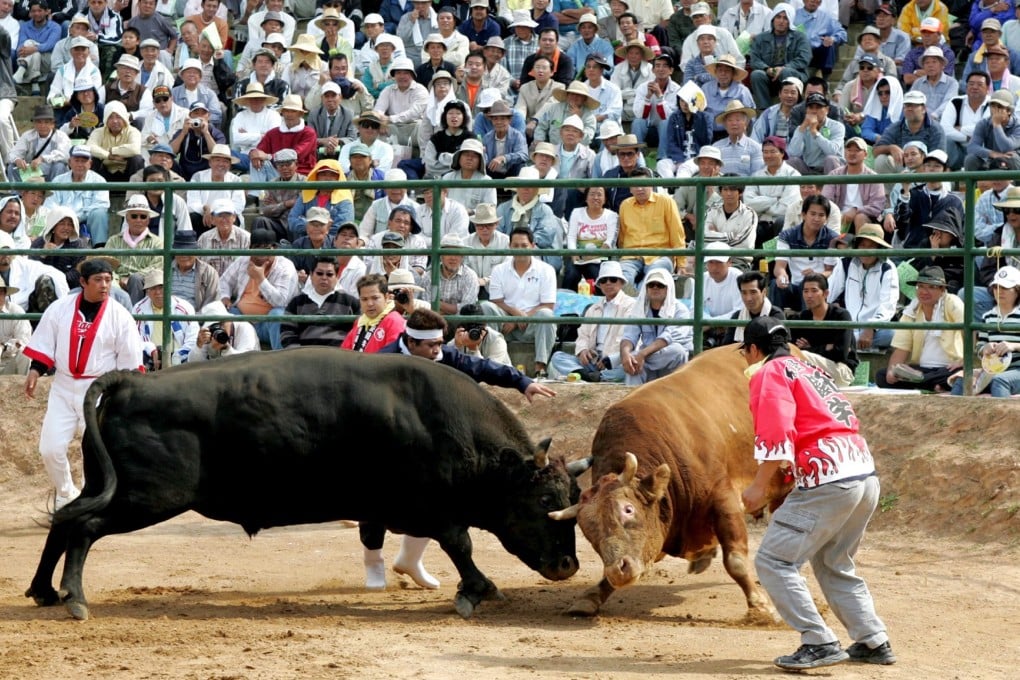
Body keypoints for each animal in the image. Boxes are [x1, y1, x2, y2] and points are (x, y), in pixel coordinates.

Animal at [26, 349, 591, 621]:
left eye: (575, 498)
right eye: (545, 500)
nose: (568, 565)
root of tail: (133, 379)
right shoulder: (432, 507)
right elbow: (462, 544)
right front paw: (477, 590)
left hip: (112, 486)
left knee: (65, 519)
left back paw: (44, 591)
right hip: (145, 496)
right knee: (83, 527)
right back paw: (74, 597)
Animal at [550, 345, 792, 618]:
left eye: (628, 510)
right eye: (587, 528)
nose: (618, 569)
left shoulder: (724, 497)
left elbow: (736, 561)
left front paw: (760, 606)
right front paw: (591, 596)